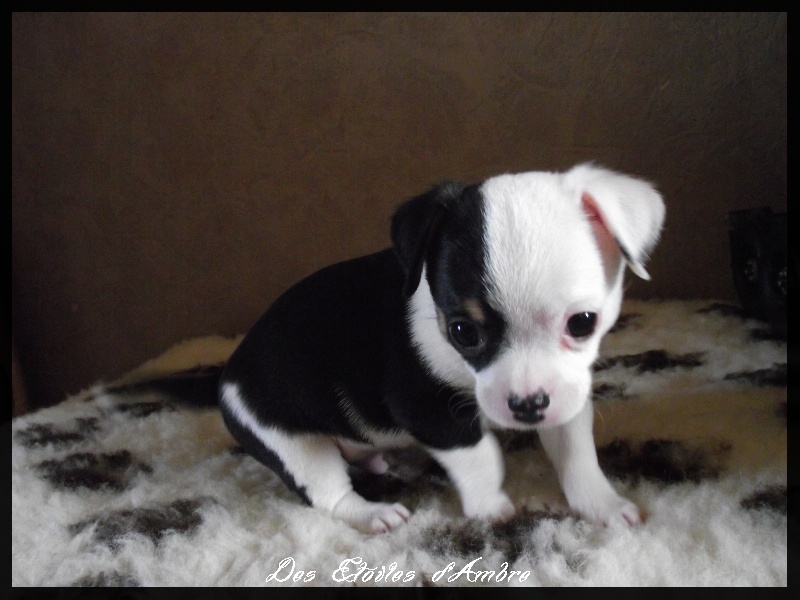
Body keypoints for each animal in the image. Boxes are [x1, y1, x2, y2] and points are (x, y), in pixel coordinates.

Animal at [219, 163, 665, 533]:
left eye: (583, 323)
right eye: (463, 331)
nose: (527, 407)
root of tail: (228, 376)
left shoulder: (567, 399)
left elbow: (577, 454)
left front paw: (602, 505)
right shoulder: (429, 410)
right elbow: (481, 456)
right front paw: (490, 507)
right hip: (293, 444)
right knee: (328, 494)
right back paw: (374, 514)